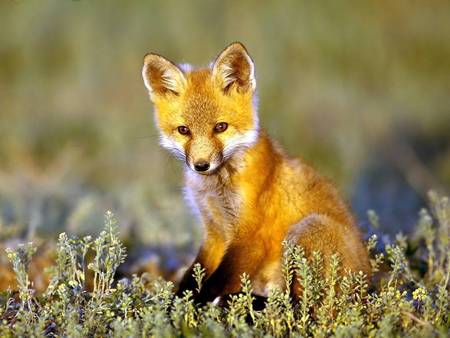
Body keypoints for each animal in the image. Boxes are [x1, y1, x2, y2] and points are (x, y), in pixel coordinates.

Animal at [142, 42, 370, 304]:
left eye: (220, 127)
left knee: (300, 304)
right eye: (184, 130)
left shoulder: (251, 236)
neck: (217, 187)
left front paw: (195, 307)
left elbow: (215, 283)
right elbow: (192, 276)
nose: (201, 165)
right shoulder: (214, 231)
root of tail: (366, 287)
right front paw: (178, 303)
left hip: (307, 229)